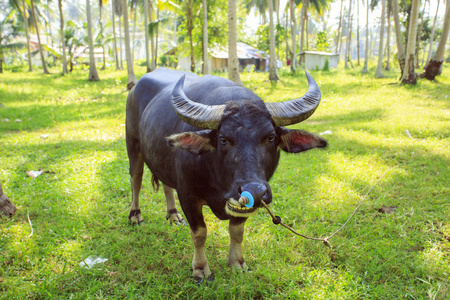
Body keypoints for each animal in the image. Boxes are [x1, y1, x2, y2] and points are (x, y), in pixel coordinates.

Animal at [125, 68, 326, 282]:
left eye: (271, 137)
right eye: (223, 139)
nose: (253, 191)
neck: (218, 183)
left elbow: (236, 231)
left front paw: (237, 263)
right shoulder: (188, 196)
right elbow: (199, 233)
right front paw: (200, 269)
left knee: (165, 184)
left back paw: (173, 215)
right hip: (133, 146)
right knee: (135, 180)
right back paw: (135, 216)